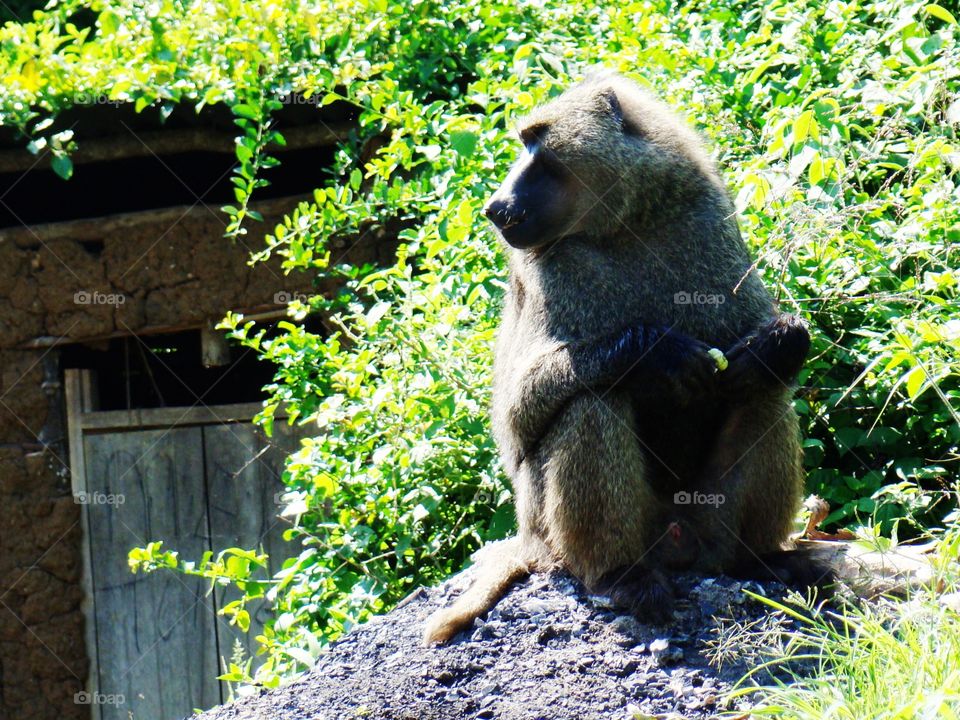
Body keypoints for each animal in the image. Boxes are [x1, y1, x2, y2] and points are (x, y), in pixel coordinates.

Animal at [424, 71, 815, 645]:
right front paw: (655, 353)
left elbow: (755, 353)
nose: (496, 207)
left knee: (761, 392)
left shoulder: (708, 223)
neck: (624, 226)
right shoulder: (549, 269)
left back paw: (755, 560)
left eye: (535, 145)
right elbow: (516, 417)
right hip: (550, 529)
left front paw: (779, 342)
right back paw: (621, 575)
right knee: (593, 401)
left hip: (703, 524)